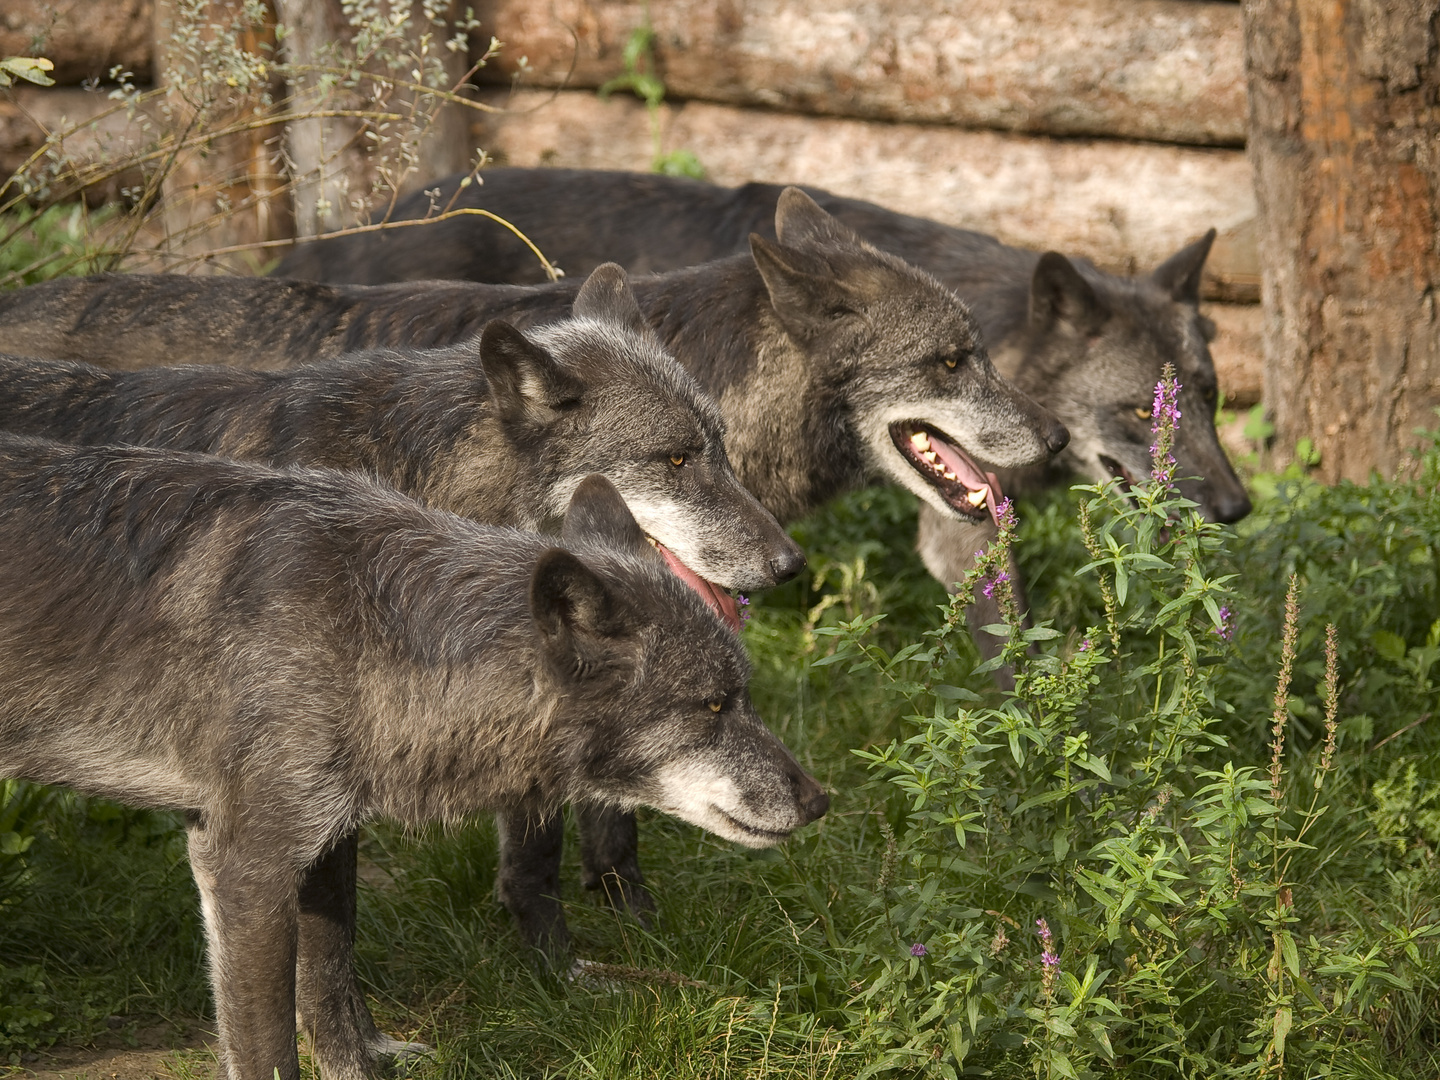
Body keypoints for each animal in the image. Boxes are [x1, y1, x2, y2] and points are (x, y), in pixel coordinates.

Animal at [0, 449, 829, 1080]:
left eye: (744, 695)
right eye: (712, 706)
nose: (819, 801)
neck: (366, 629)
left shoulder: (327, 842)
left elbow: (331, 979)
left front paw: (360, 1065)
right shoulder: (244, 866)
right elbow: (270, 1045)